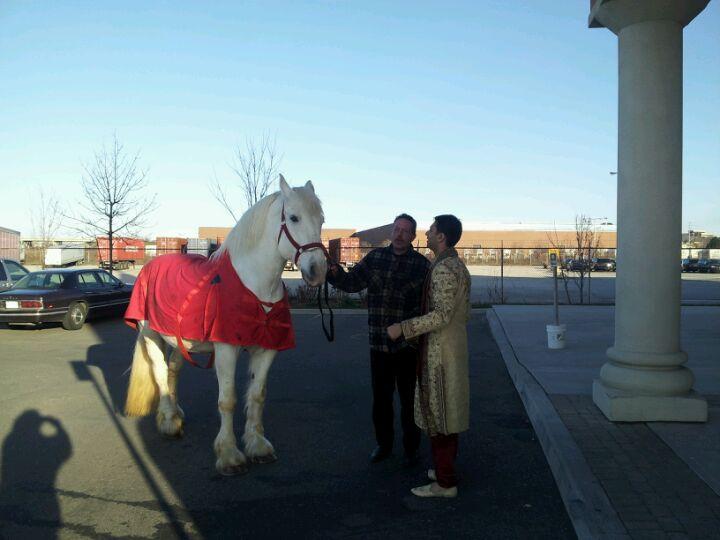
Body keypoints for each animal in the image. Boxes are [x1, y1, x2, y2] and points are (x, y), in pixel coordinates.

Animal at [124, 175, 326, 474]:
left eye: (322, 220)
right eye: (293, 217)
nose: (318, 271)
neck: (254, 285)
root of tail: (151, 264)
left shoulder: (267, 349)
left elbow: (257, 396)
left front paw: (258, 446)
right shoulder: (227, 349)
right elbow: (228, 400)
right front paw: (229, 455)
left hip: (179, 340)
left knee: (173, 369)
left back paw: (174, 414)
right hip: (150, 334)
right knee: (160, 372)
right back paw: (169, 422)